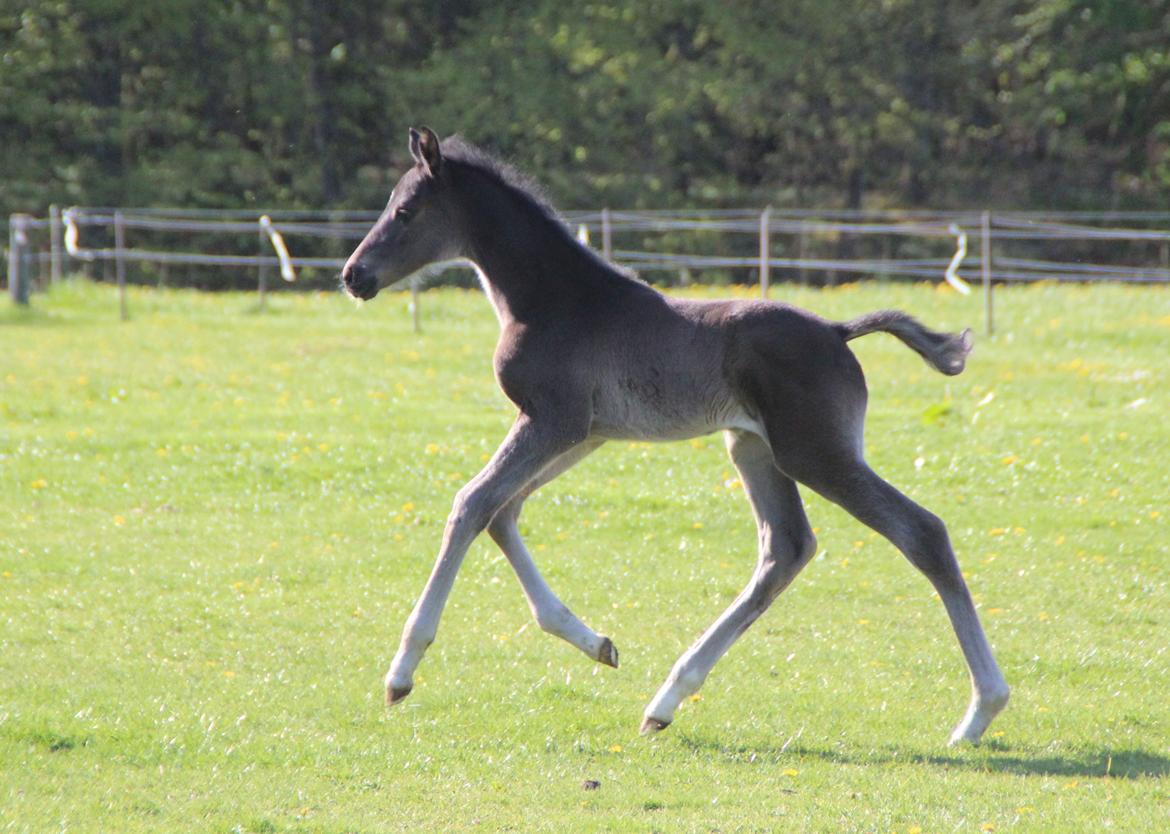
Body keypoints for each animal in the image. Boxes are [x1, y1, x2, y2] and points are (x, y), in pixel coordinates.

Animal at [341, 128, 1010, 743]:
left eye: (405, 211)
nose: (353, 275)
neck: (557, 301)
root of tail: (837, 331)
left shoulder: (552, 421)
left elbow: (471, 503)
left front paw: (400, 673)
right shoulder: (584, 433)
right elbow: (502, 512)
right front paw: (597, 643)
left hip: (814, 453)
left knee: (922, 532)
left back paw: (980, 712)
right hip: (753, 448)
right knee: (786, 548)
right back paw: (666, 700)